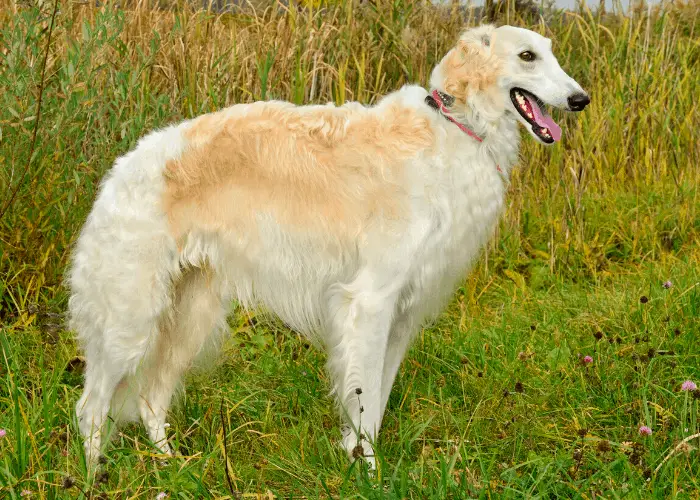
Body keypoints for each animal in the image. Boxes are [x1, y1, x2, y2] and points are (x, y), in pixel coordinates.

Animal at [68, 24, 588, 468]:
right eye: (527, 55)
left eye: (552, 53)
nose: (580, 99)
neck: (455, 130)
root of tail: (123, 169)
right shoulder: (371, 301)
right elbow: (364, 402)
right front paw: (370, 474)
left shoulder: (402, 313)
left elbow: (374, 403)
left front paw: (358, 461)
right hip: (132, 314)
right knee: (91, 406)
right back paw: (96, 477)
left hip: (189, 313)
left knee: (151, 399)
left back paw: (172, 465)